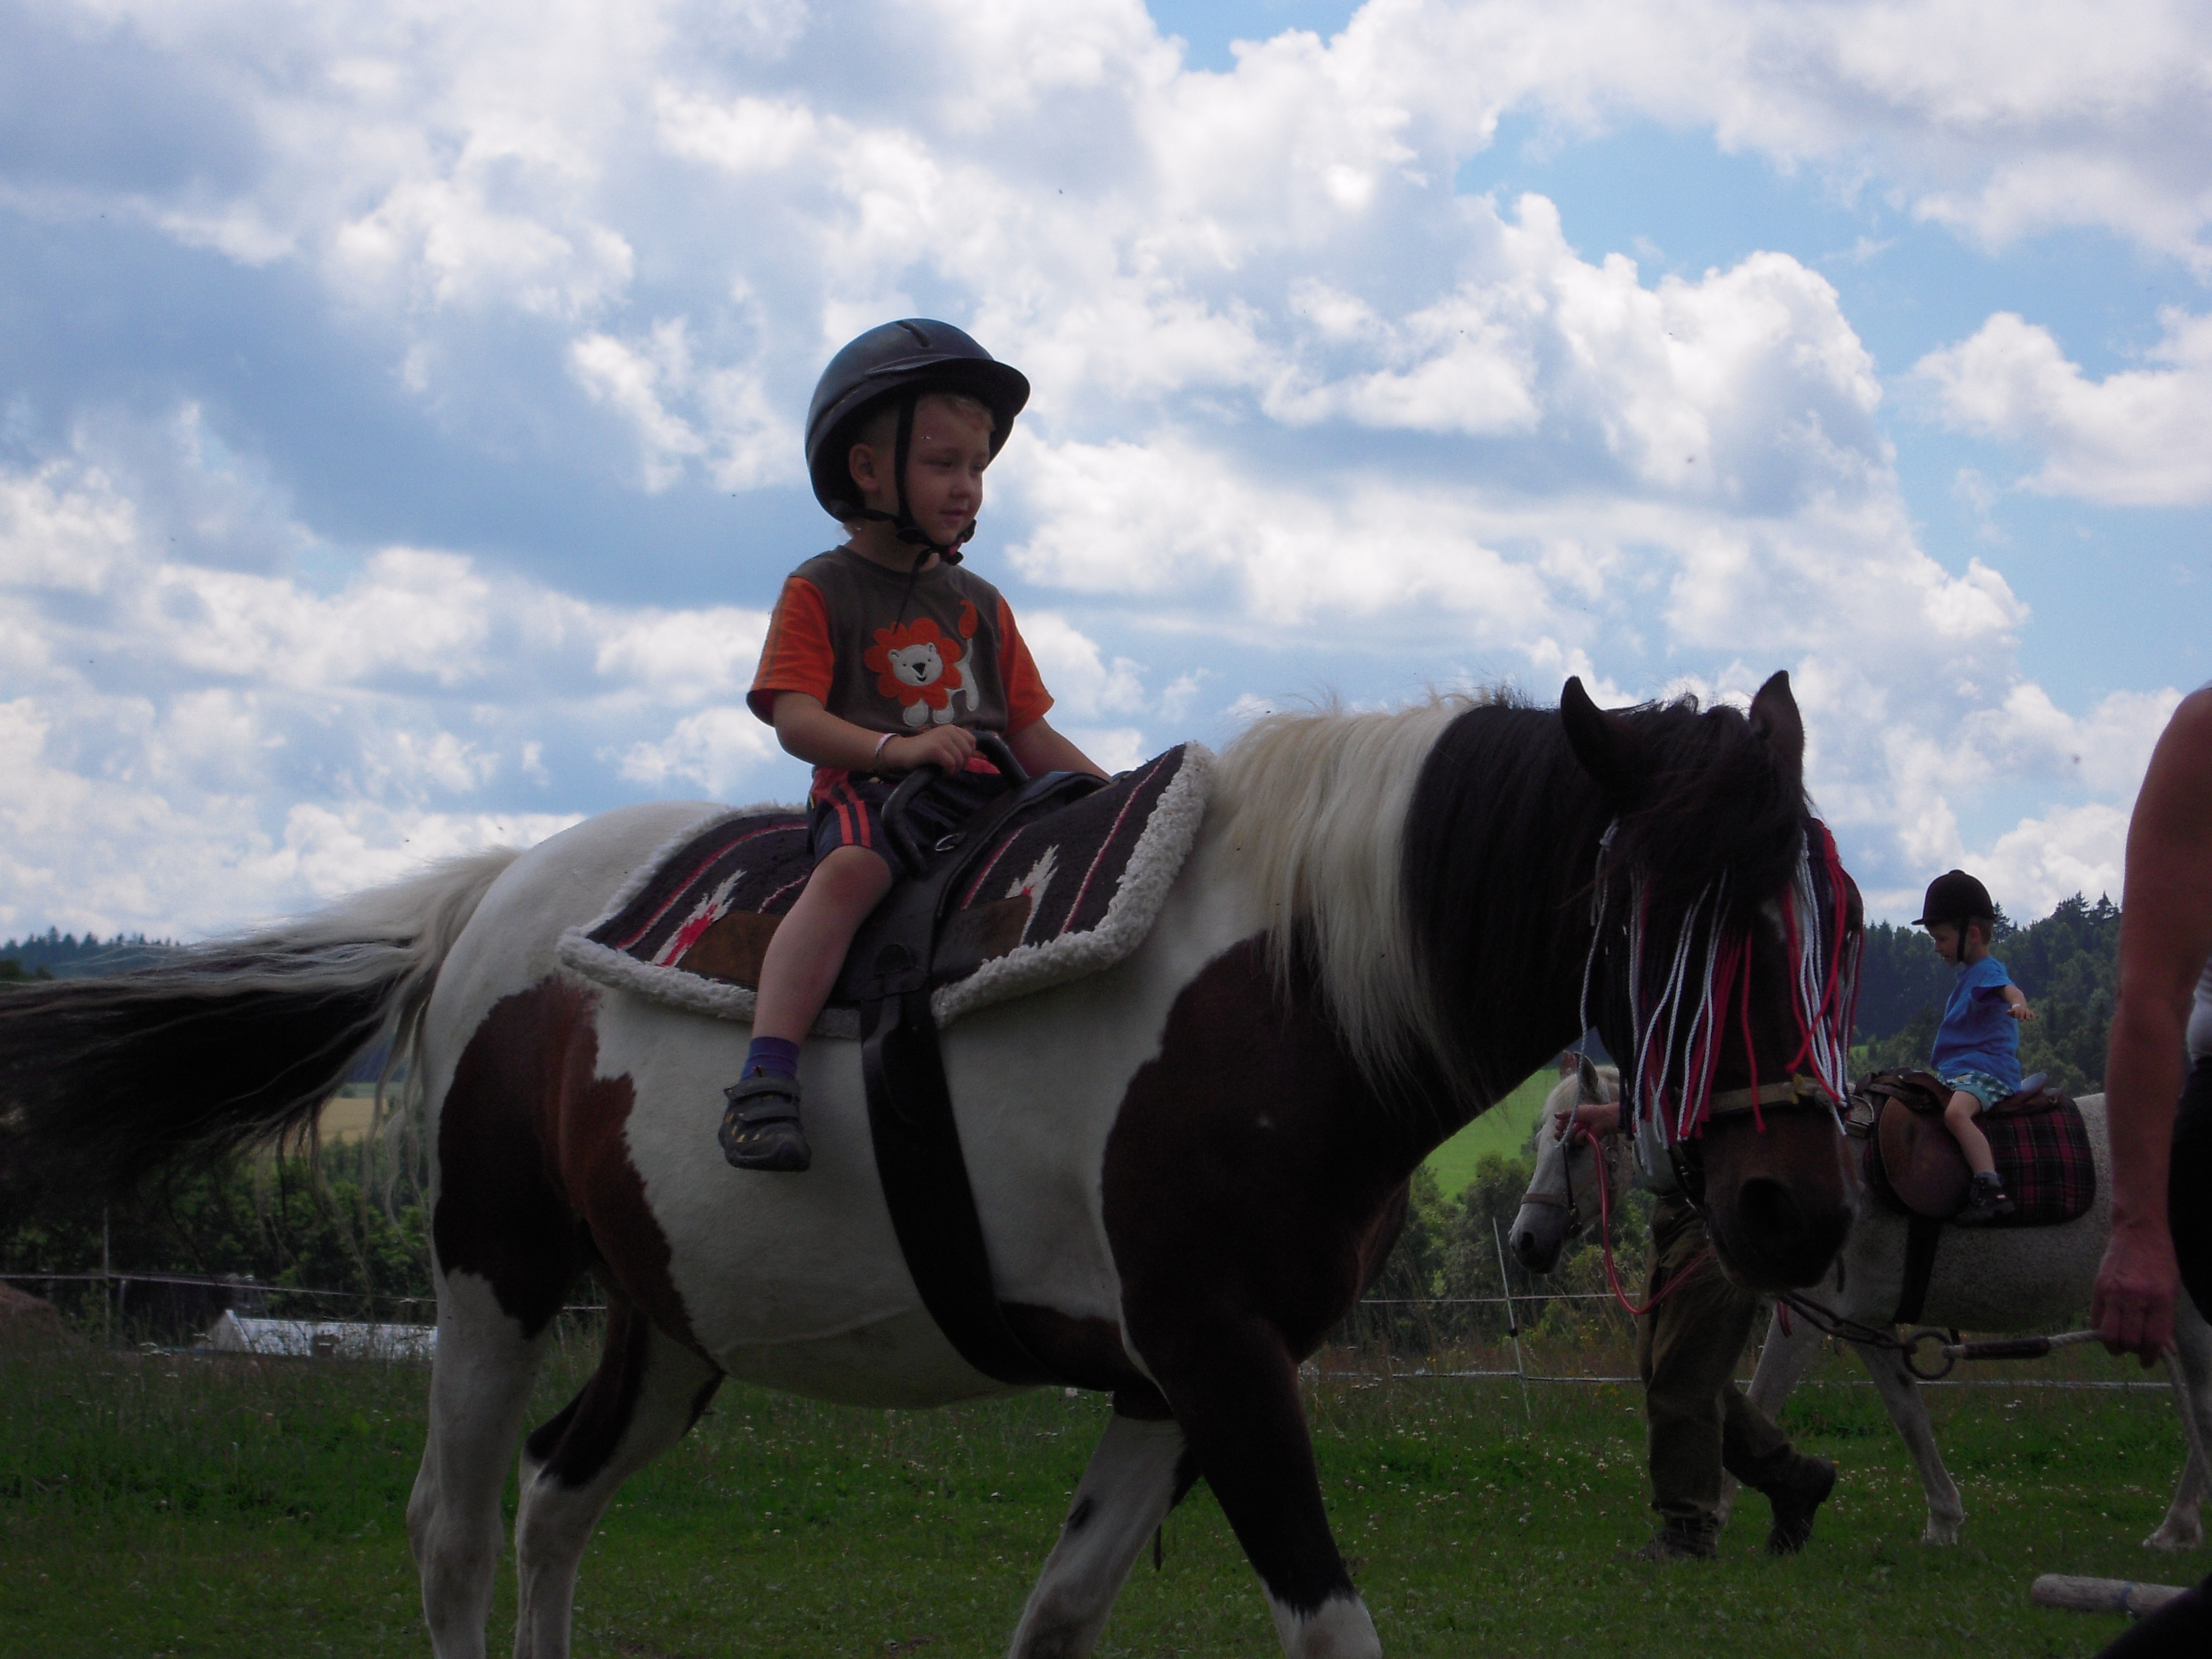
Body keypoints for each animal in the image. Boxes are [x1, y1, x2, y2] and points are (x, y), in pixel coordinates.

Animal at [0, 673, 1861, 1659]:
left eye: (1835, 918)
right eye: (1682, 913)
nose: (1795, 1203)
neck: (1286, 990)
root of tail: (491, 899)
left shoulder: (1165, 1379)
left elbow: (1058, 1619)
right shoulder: (1223, 1362)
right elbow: (1330, 1625)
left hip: (669, 1325)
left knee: (553, 1498)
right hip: (492, 1278)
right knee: (452, 1525)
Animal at [1510, 1070, 2212, 1551]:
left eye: (1573, 1143)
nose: (1525, 1240)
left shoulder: (1807, 1322)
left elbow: (1759, 1399)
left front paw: (1722, 1514)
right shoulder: (1867, 1325)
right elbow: (1909, 1416)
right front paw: (1943, 1521)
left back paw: (2176, 1530)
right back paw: (2177, 1527)